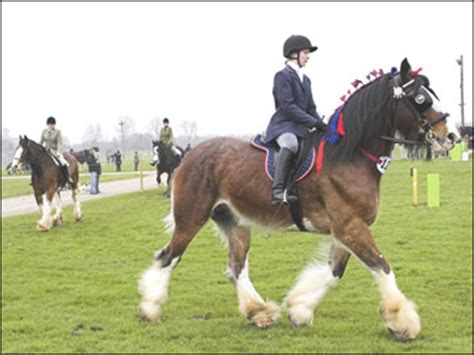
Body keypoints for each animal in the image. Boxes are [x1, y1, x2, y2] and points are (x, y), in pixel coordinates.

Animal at [139, 59, 454, 342]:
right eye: (420, 98)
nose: (448, 136)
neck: (350, 156)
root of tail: (189, 156)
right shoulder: (350, 227)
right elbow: (382, 266)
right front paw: (402, 324)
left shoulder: (347, 229)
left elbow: (334, 272)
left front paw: (299, 309)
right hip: (191, 218)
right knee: (169, 257)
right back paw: (149, 310)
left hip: (234, 222)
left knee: (236, 268)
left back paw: (259, 313)